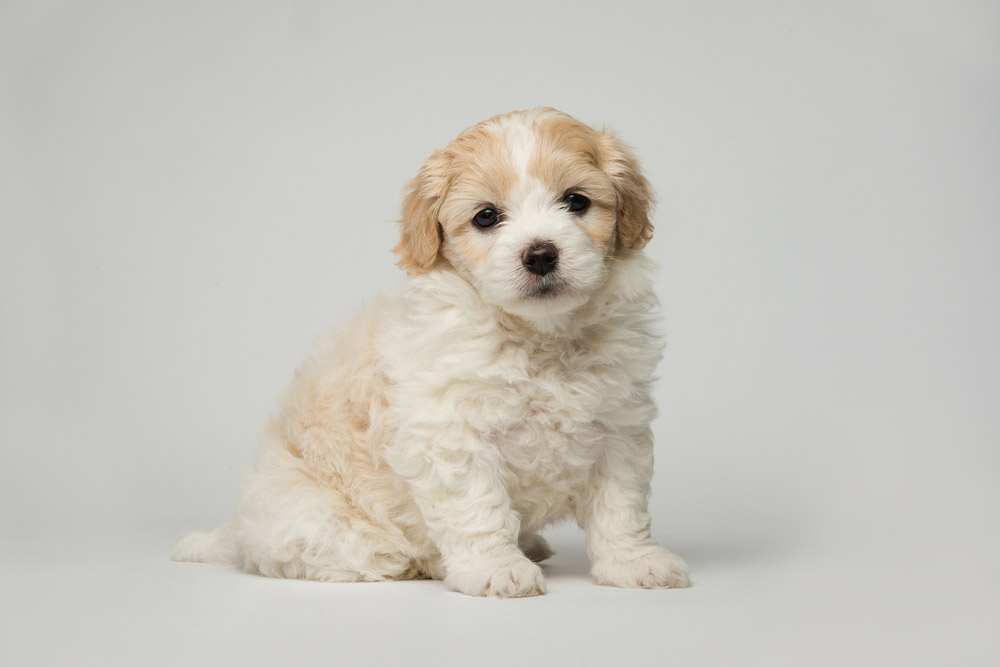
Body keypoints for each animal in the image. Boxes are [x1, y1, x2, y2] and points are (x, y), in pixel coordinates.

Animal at [172, 107, 688, 596]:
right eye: (486, 216)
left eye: (576, 200)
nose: (541, 254)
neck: (540, 336)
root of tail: (236, 528)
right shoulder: (452, 435)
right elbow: (479, 509)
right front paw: (495, 570)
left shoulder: (618, 430)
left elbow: (620, 507)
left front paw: (634, 563)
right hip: (327, 528)